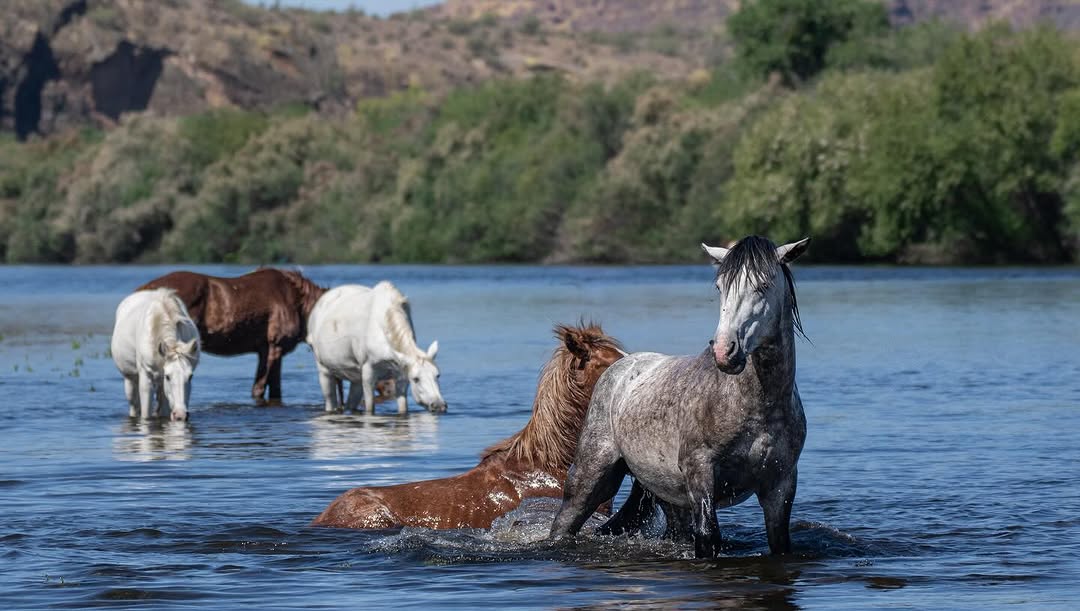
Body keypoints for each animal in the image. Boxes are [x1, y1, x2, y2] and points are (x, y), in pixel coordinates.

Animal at [111, 287, 200, 421]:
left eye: (190, 377)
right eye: (168, 377)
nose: (180, 415)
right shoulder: (146, 377)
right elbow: (145, 414)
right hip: (130, 381)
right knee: (134, 406)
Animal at [308, 282, 447, 416]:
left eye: (437, 375)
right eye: (416, 379)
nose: (439, 405)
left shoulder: (401, 373)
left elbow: (403, 408)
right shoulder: (368, 373)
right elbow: (370, 408)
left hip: (356, 378)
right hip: (324, 371)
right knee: (330, 401)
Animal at [548, 236, 812, 561]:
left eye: (763, 285)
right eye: (720, 286)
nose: (724, 351)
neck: (759, 407)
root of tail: (620, 368)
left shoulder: (780, 485)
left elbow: (779, 542)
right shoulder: (701, 475)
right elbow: (708, 538)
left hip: (670, 495)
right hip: (591, 478)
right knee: (566, 521)